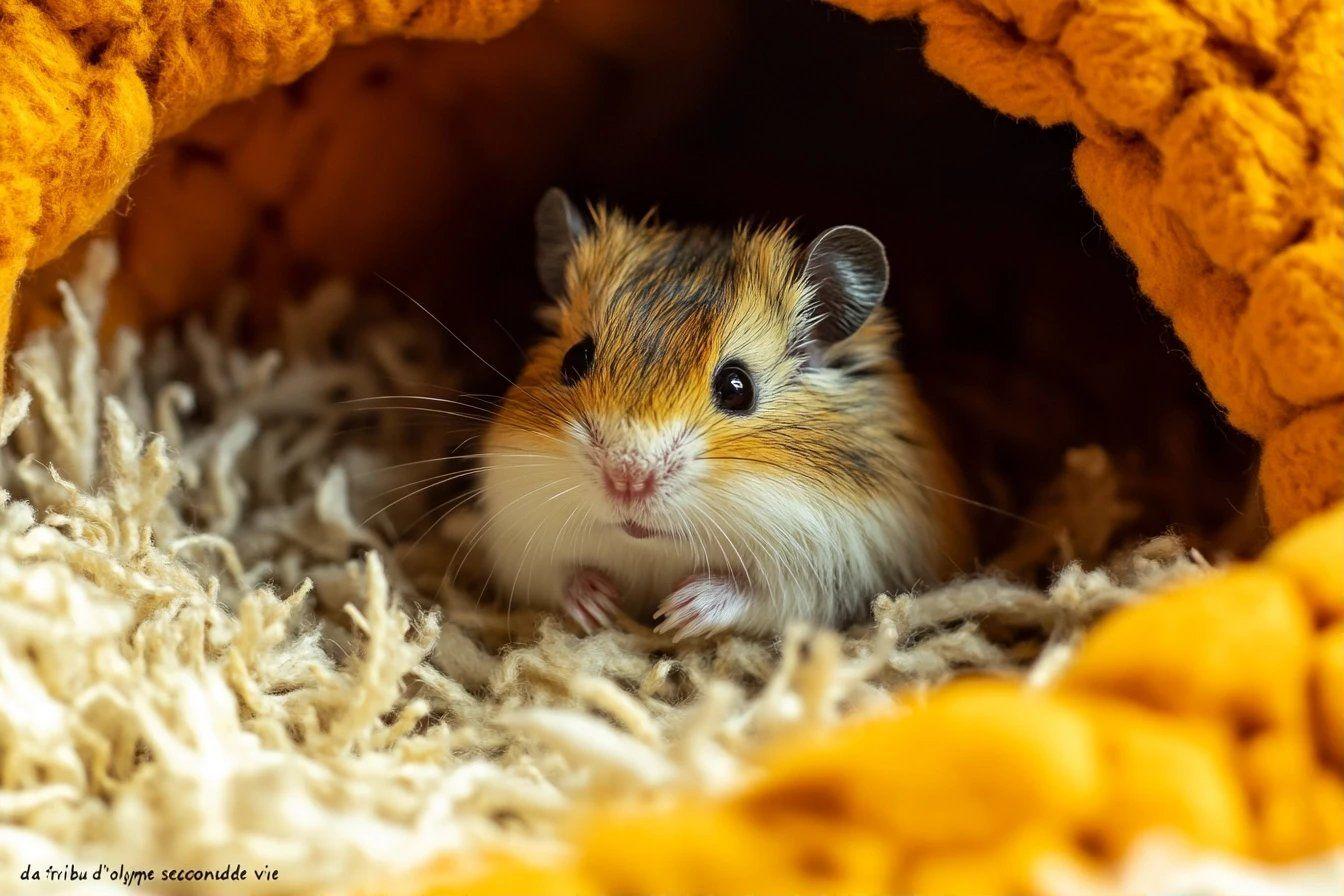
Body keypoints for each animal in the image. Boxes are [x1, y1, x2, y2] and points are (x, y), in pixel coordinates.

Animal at [474, 189, 970, 640]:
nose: (627, 480)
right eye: (574, 360)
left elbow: (760, 597)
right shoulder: (519, 540)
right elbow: (557, 577)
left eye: (737, 388)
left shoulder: (832, 573)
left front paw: (677, 612)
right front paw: (598, 603)